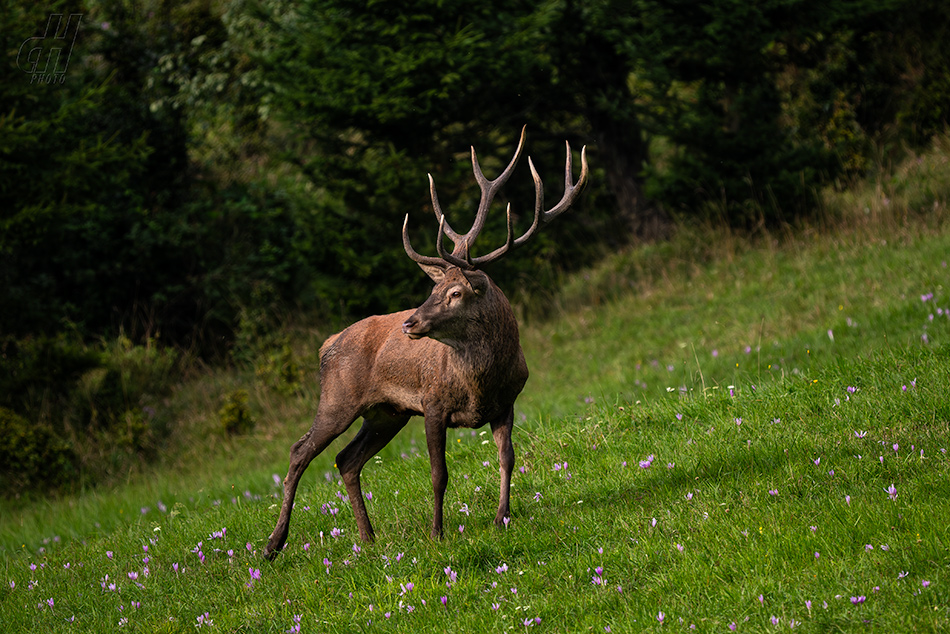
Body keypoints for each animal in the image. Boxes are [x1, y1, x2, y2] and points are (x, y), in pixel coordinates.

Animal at [262, 124, 588, 556]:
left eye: (456, 293)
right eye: (435, 288)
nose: (410, 323)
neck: (479, 383)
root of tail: (326, 344)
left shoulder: (507, 402)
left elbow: (508, 457)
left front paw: (502, 518)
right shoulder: (433, 404)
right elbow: (438, 473)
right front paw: (437, 533)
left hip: (386, 413)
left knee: (347, 460)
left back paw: (368, 538)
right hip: (337, 398)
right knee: (300, 451)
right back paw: (273, 543)